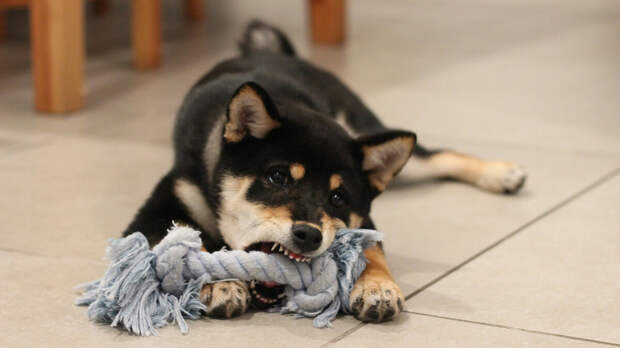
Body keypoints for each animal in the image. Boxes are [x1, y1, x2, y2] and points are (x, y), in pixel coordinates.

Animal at [123, 21, 524, 324]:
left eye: (337, 196)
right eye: (278, 177)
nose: (308, 235)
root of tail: (278, 54)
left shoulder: (364, 219)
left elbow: (371, 252)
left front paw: (377, 288)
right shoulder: (154, 213)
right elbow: (188, 245)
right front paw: (218, 282)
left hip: (363, 126)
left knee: (438, 156)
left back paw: (501, 173)